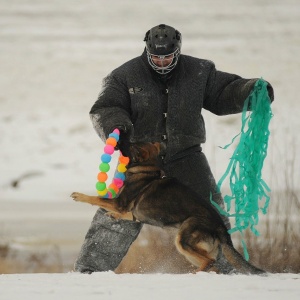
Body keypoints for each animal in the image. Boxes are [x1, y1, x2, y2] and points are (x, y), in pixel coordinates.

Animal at [72, 142, 264, 274]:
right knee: (213, 264)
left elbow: (96, 198)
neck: (147, 169)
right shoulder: (131, 211)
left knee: (209, 261)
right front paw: (113, 215)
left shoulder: (120, 202)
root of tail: (220, 228)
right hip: (190, 249)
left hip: (184, 240)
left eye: (130, 143)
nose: (118, 140)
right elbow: (126, 215)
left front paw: (79, 195)